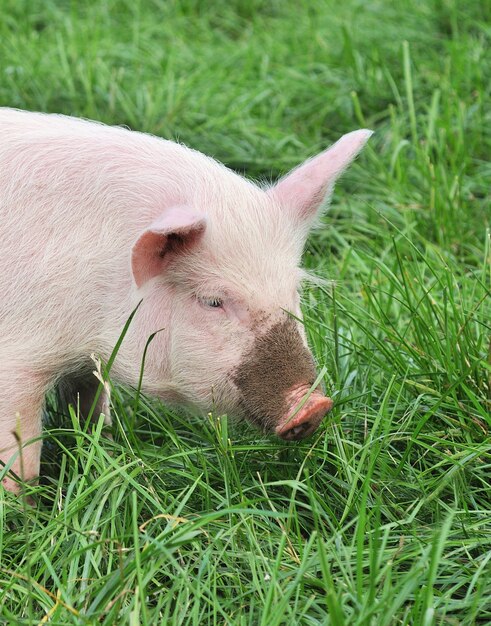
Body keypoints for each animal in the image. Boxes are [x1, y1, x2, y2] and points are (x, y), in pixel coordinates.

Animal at [0, 108, 370, 492]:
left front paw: (107, 456)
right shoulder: (16, 362)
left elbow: (92, 412)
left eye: (293, 290)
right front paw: (21, 505)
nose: (316, 404)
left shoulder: (87, 361)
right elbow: (21, 459)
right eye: (212, 301)